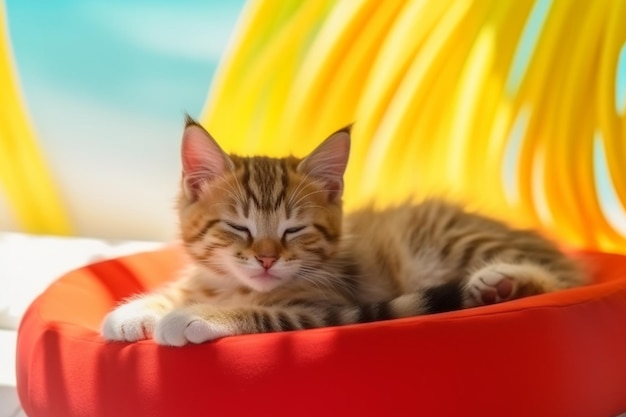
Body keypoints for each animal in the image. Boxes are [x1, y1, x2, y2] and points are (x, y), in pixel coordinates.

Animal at [101, 116, 584, 344]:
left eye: (294, 230)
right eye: (238, 227)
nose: (267, 258)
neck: (235, 286)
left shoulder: (326, 306)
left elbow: (262, 312)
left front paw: (195, 316)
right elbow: (180, 289)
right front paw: (135, 312)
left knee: (564, 282)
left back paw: (503, 280)